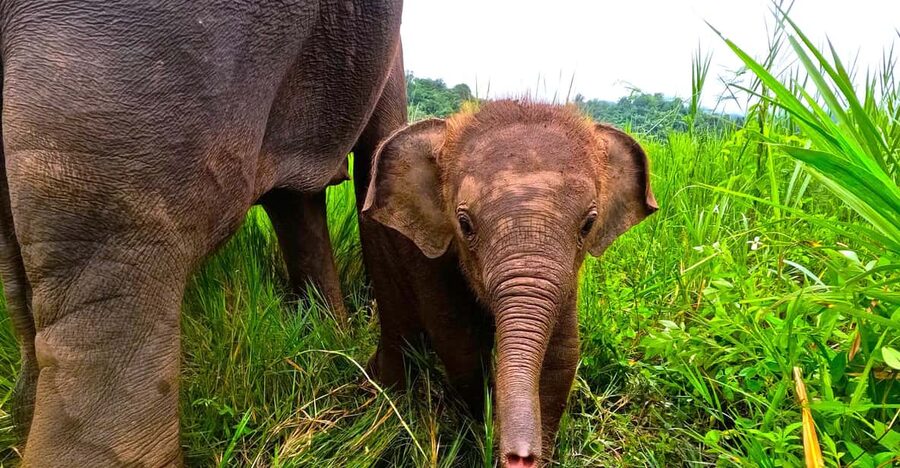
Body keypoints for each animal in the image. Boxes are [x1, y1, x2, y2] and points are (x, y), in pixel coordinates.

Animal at [362, 100, 658, 467]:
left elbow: (562, 355)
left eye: (588, 224)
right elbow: (461, 345)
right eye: (464, 224)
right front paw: (483, 431)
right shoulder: (428, 258)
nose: (520, 457)